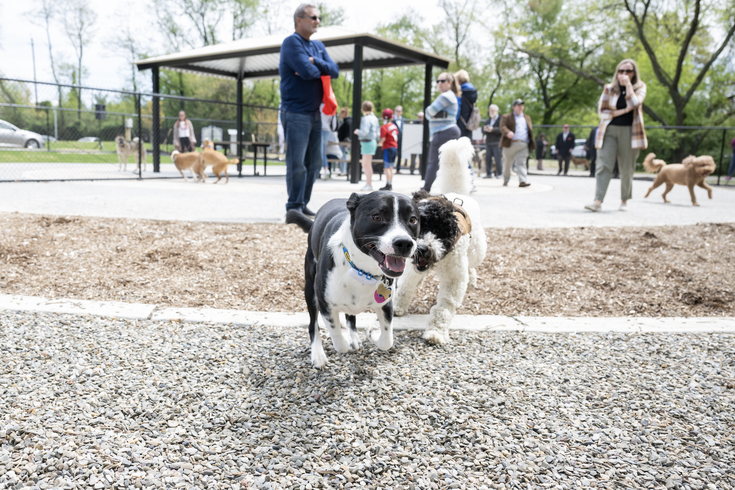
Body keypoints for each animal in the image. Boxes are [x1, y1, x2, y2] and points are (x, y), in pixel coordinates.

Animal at [286, 191, 420, 368]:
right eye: (377, 217)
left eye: (413, 219)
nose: (404, 243)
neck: (363, 272)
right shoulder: (325, 304)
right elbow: (339, 342)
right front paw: (343, 338)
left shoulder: (385, 304)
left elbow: (387, 341)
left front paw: (372, 333)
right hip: (310, 287)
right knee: (313, 324)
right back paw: (318, 354)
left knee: (351, 316)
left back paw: (354, 338)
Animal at [394, 136, 486, 344]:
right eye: (414, 225)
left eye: (438, 230)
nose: (422, 249)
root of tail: (457, 194)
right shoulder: (411, 268)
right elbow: (404, 287)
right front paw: (397, 307)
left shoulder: (454, 278)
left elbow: (444, 306)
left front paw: (436, 332)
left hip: (477, 251)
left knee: (471, 264)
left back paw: (473, 277)